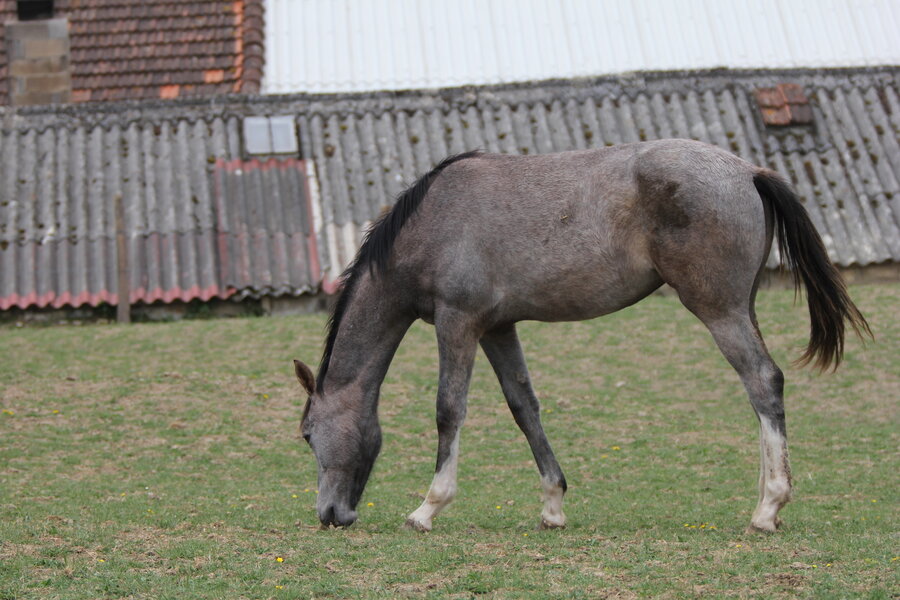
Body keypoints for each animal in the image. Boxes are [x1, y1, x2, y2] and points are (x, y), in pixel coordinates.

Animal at [293, 139, 869, 533]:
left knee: (763, 382)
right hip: (740, 307)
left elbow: (448, 410)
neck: (431, 222)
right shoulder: (497, 328)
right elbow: (524, 407)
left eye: (307, 435)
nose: (330, 513)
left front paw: (428, 508)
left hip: (719, 311)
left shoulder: (459, 323)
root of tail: (749, 171)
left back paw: (768, 506)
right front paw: (552, 504)